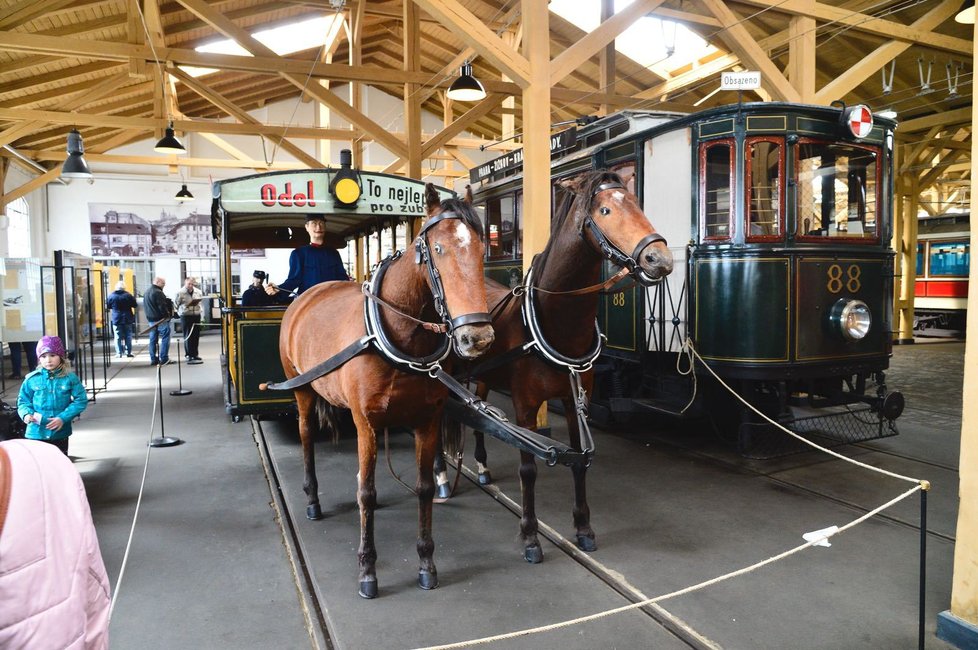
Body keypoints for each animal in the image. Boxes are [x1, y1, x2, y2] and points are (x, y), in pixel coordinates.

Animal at [276, 184, 492, 596]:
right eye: (437, 249)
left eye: (481, 248)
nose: (478, 338)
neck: (398, 335)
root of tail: (307, 295)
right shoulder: (367, 424)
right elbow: (366, 492)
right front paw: (367, 569)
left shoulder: (427, 421)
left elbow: (424, 488)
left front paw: (426, 563)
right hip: (302, 389)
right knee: (307, 435)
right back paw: (312, 499)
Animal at [440, 170, 672, 560]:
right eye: (605, 210)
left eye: (637, 203)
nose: (661, 259)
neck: (557, 326)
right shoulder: (524, 405)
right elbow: (528, 468)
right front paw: (530, 536)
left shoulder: (576, 400)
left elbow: (580, 461)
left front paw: (583, 528)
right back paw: (442, 478)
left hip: (485, 376)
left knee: (479, 414)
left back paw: (483, 466)